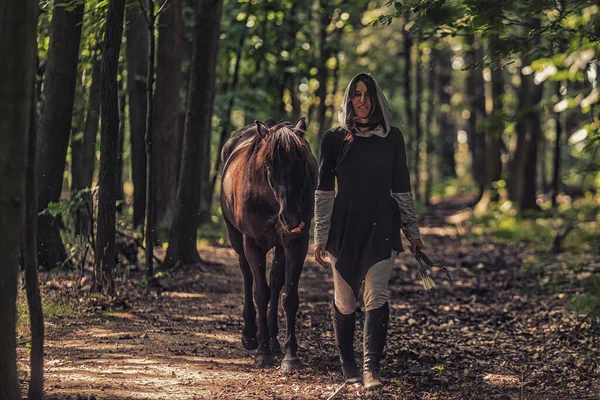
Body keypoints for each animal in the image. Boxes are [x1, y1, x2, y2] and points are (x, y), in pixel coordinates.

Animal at [220, 118, 318, 372]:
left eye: (301, 161)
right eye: (269, 164)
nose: (291, 217)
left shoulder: (296, 242)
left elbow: (288, 296)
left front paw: (290, 356)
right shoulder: (252, 244)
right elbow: (260, 293)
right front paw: (262, 352)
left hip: (281, 246)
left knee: (275, 281)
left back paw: (274, 342)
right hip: (236, 237)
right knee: (247, 276)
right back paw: (250, 336)